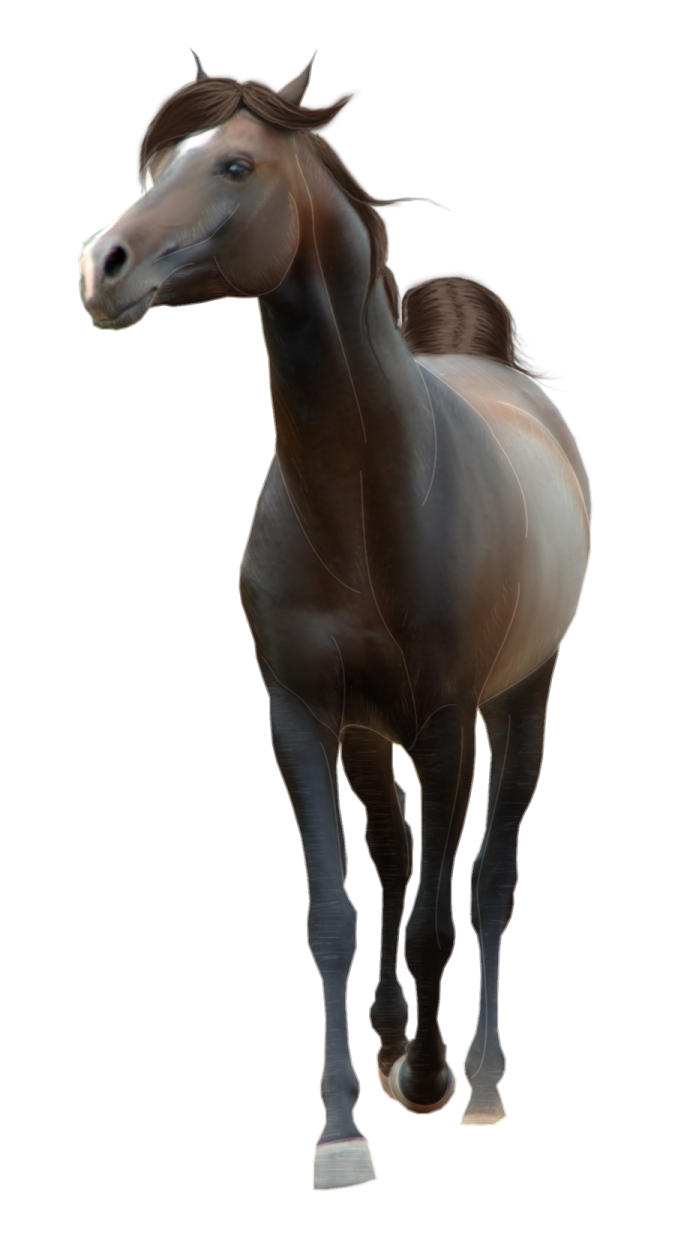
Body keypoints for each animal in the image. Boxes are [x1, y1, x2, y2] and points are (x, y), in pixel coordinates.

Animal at [78, 46, 592, 1191]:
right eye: (159, 163)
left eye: (234, 164)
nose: (101, 265)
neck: (367, 502)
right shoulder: (302, 722)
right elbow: (331, 917)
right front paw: (344, 1127)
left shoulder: (446, 729)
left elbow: (443, 917)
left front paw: (427, 1082)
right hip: (366, 734)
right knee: (395, 857)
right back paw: (396, 1038)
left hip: (520, 705)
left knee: (487, 883)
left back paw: (476, 1080)